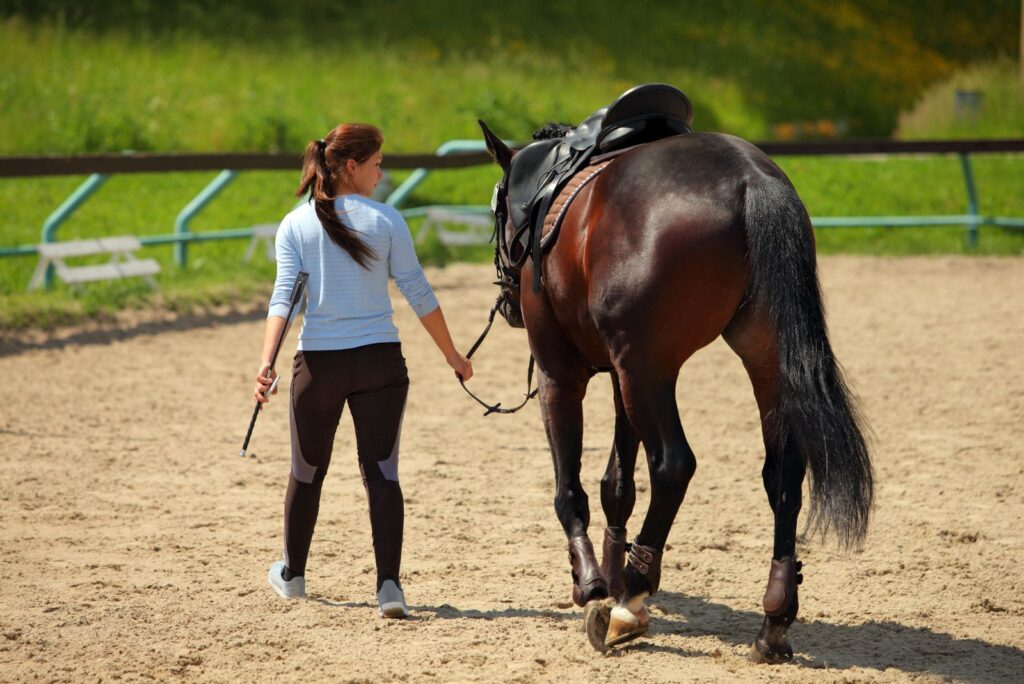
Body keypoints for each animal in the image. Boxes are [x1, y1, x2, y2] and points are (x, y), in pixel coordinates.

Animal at [477, 118, 872, 663]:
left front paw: (593, 586)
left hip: (648, 373)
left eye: (495, 210)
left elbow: (570, 488)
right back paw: (773, 618)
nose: (507, 300)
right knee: (783, 475)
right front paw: (609, 572)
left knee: (673, 465)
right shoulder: (619, 376)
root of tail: (750, 179)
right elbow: (617, 484)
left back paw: (631, 598)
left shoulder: (563, 375)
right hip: (759, 362)